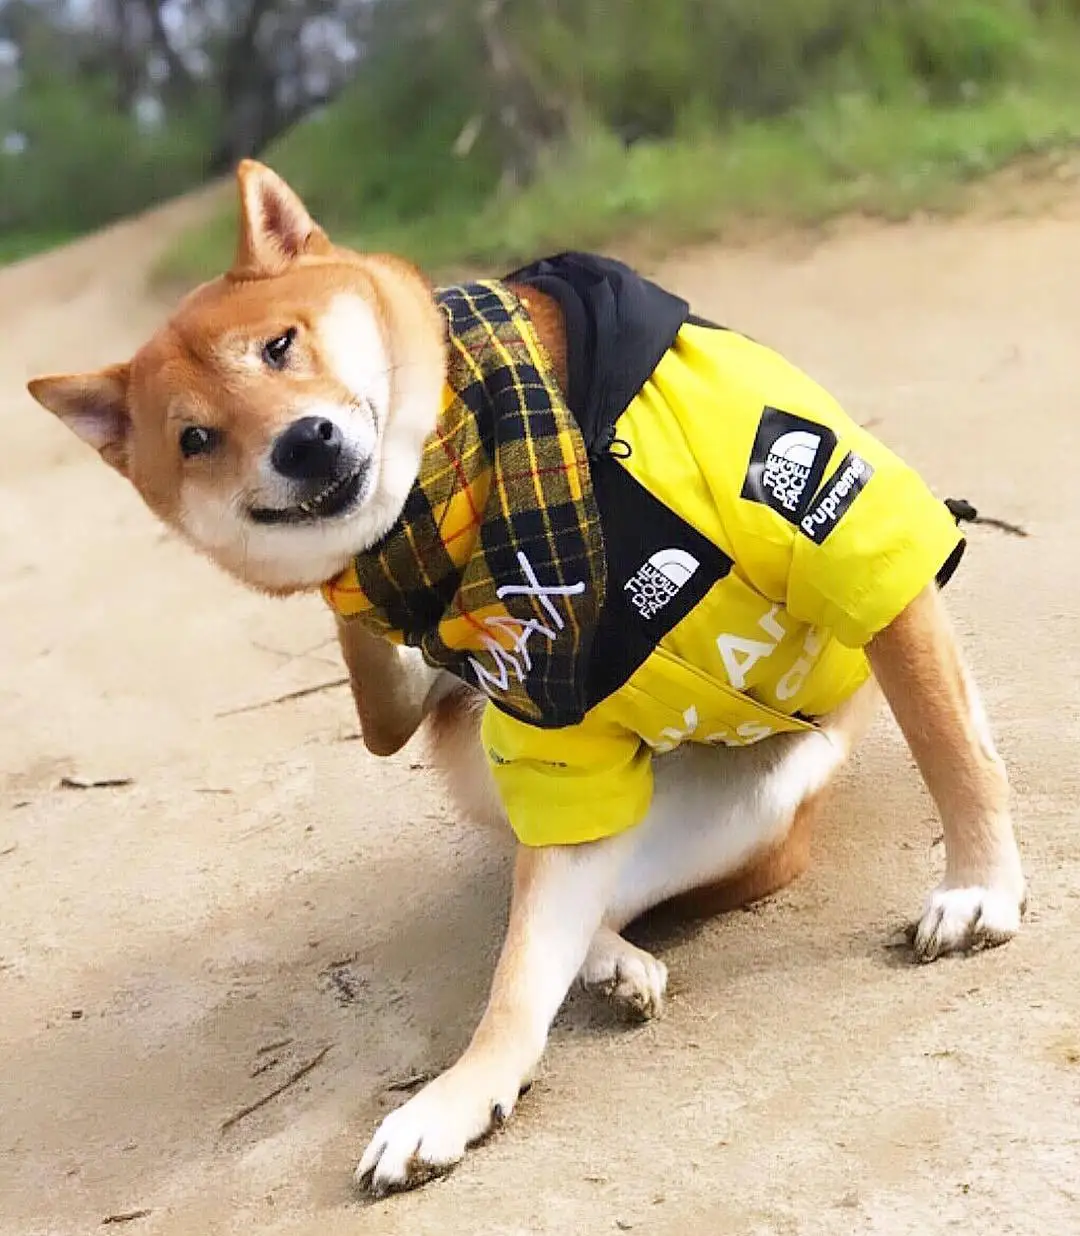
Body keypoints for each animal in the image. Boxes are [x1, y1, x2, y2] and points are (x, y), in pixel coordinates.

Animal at [23, 159, 1018, 1191]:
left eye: (278, 345)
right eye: (195, 440)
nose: (301, 443)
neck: (471, 488)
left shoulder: (845, 535)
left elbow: (949, 742)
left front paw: (980, 886)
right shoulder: (551, 727)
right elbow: (518, 974)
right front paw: (460, 1097)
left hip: (759, 809)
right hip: (527, 774)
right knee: (541, 895)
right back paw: (612, 963)